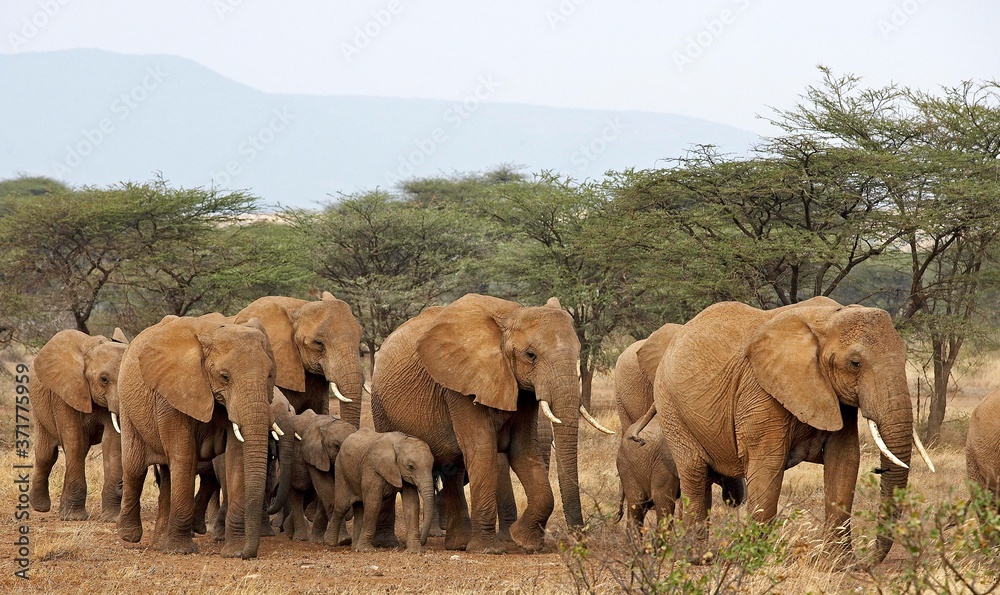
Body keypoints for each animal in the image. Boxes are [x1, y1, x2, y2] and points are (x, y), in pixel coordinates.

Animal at [28, 328, 129, 521]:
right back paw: (40, 507)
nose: (121, 485)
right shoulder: (64, 392)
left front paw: (111, 519)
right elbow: (74, 440)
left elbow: (112, 445)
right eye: (104, 379)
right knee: (47, 455)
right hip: (38, 410)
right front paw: (74, 518)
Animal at [116, 315, 276, 558]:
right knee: (135, 466)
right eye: (224, 377)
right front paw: (180, 550)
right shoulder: (173, 394)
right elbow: (184, 456)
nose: (247, 553)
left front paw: (233, 551)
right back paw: (129, 535)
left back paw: (159, 544)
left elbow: (237, 458)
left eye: (269, 375)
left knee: (167, 474)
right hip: (127, 405)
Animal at [371, 294, 612, 554]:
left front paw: (525, 541)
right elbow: (482, 449)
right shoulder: (462, 385)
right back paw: (387, 543)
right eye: (531, 355)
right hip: (380, 404)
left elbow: (523, 451)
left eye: (578, 352)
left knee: (453, 467)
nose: (578, 540)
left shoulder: (520, 391)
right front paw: (489, 549)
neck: (512, 316)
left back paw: (458, 544)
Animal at [647, 297, 935, 564]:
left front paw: (839, 564)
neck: (827, 319)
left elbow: (844, 460)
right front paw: (755, 560)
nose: (866, 562)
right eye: (855, 363)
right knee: (695, 474)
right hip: (670, 407)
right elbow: (768, 465)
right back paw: (698, 558)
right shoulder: (761, 391)